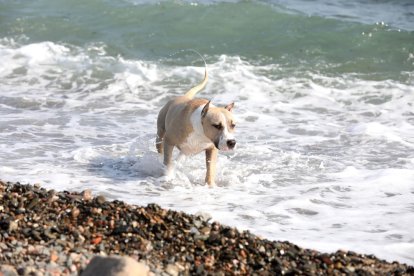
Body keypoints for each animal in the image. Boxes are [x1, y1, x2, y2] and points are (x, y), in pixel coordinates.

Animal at [156, 57, 236, 187]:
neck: (200, 132)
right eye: (216, 125)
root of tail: (183, 96)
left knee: (182, 156)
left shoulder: (211, 149)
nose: (232, 142)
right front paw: (167, 176)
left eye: (233, 125)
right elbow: (167, 161)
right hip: (160, 133)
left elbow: (210, 168)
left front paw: (210, 185)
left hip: (187, 149)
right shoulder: (169, 141)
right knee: (160, 149)